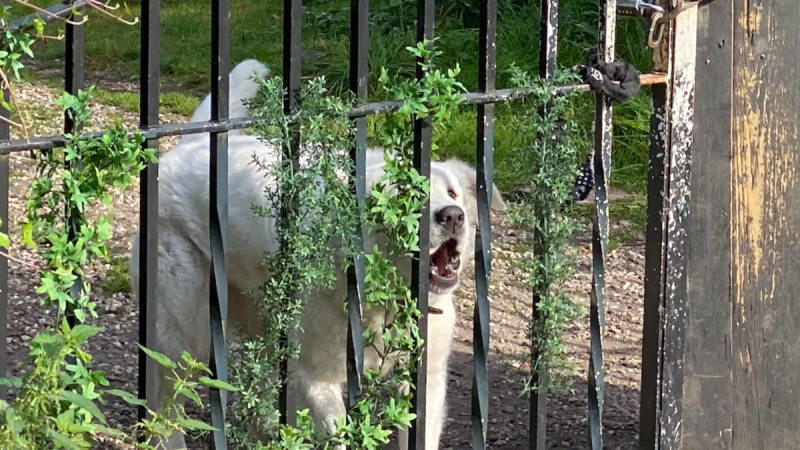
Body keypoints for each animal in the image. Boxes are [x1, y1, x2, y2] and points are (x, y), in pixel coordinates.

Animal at [131, 60, 506, 450]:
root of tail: (190, 144)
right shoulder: (316, 378)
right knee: (166, 406)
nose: (452, 216)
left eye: (452, 193)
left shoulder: (425, 380)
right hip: (184, 333)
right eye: (400, 197)